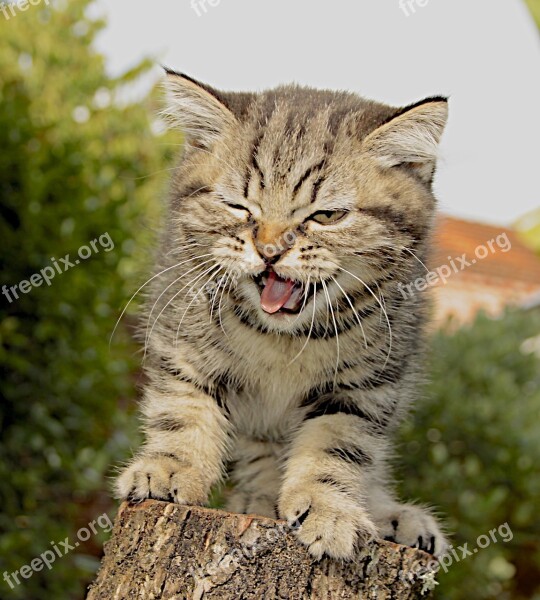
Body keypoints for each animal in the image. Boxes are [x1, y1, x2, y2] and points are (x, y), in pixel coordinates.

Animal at [116, 68, 450, 560]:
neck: (283, 337)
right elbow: (182, 407)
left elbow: (338, 446)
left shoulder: (367, 384)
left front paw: (329, 507)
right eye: (238, 206)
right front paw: (171, 466)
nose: (270, 250)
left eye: (326, 215)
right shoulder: (181, 338)